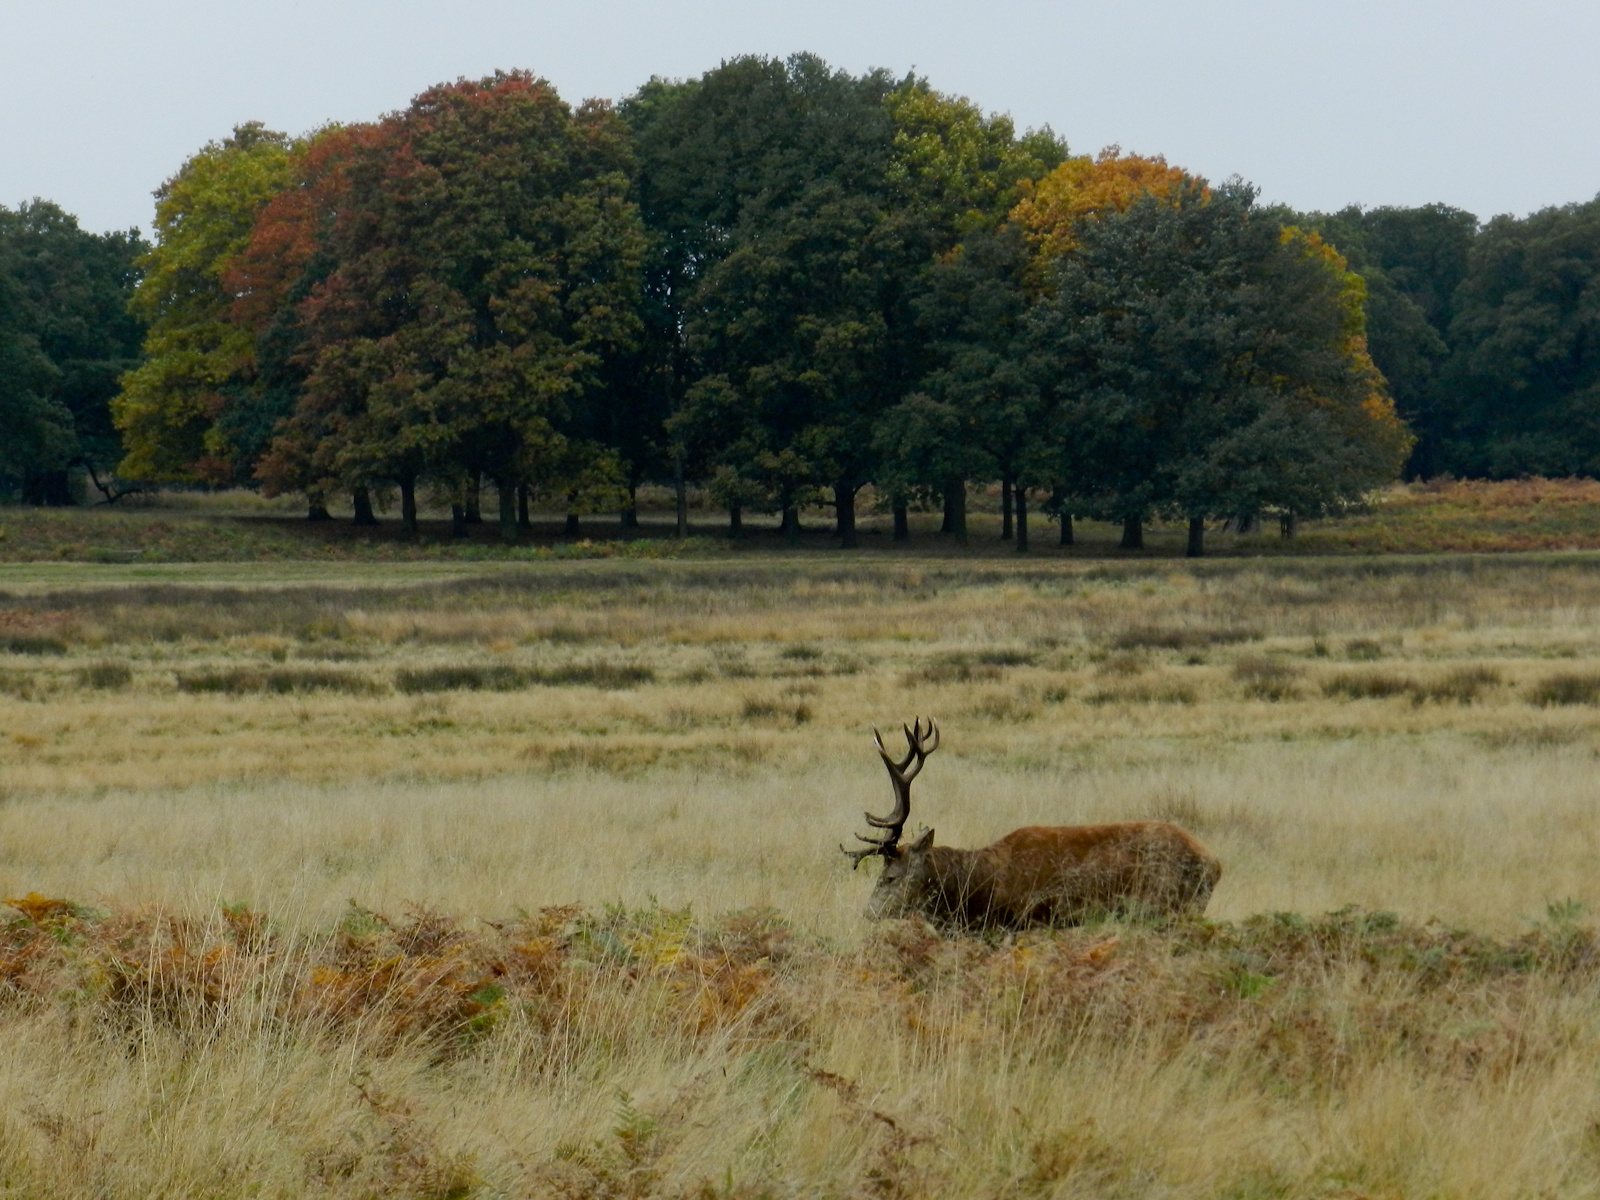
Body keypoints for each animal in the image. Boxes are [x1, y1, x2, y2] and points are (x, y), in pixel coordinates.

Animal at [844, 720, 1216, 934]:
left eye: (889, 877)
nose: (866, 914)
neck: (979, 891)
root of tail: (1215, 864)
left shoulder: (1028, 923)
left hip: (1168, 907)